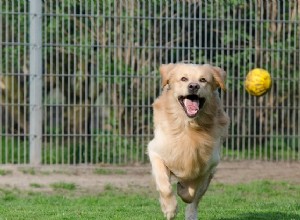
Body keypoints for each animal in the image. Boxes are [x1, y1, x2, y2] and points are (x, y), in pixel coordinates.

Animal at [148, 62, 230, 219]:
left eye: (203, 80)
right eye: (184, 79)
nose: (193, 86)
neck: (189, 126)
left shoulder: (207, 165)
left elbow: (192, 193)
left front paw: (182, 191)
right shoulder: (155, 152)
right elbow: (164, 185)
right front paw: (170, 209)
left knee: (196, 200)